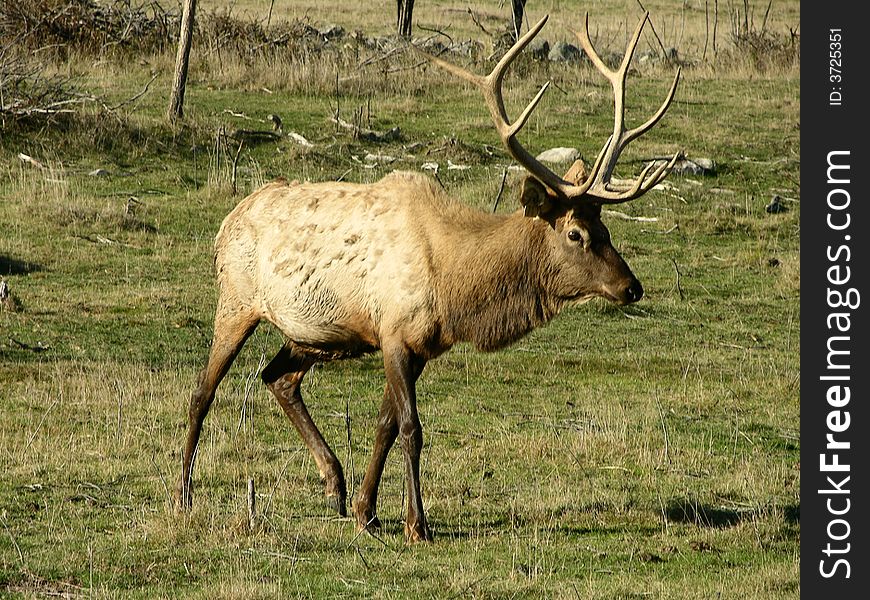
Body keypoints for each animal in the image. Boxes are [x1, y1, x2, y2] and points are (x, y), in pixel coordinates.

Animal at [177, 12, 680, 544]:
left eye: (606, 228)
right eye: (576, 233)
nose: (632, 287)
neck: (454, 285)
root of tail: (226, 223)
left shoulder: (416, 343)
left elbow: (385, 425)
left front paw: (367, 511)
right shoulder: (396, 333)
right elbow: (412, 429)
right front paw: (416, 523)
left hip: (311, 334)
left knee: (278, 377)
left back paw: (335, 485)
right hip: (236, 300)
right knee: (202, 391)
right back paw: (183, 495)